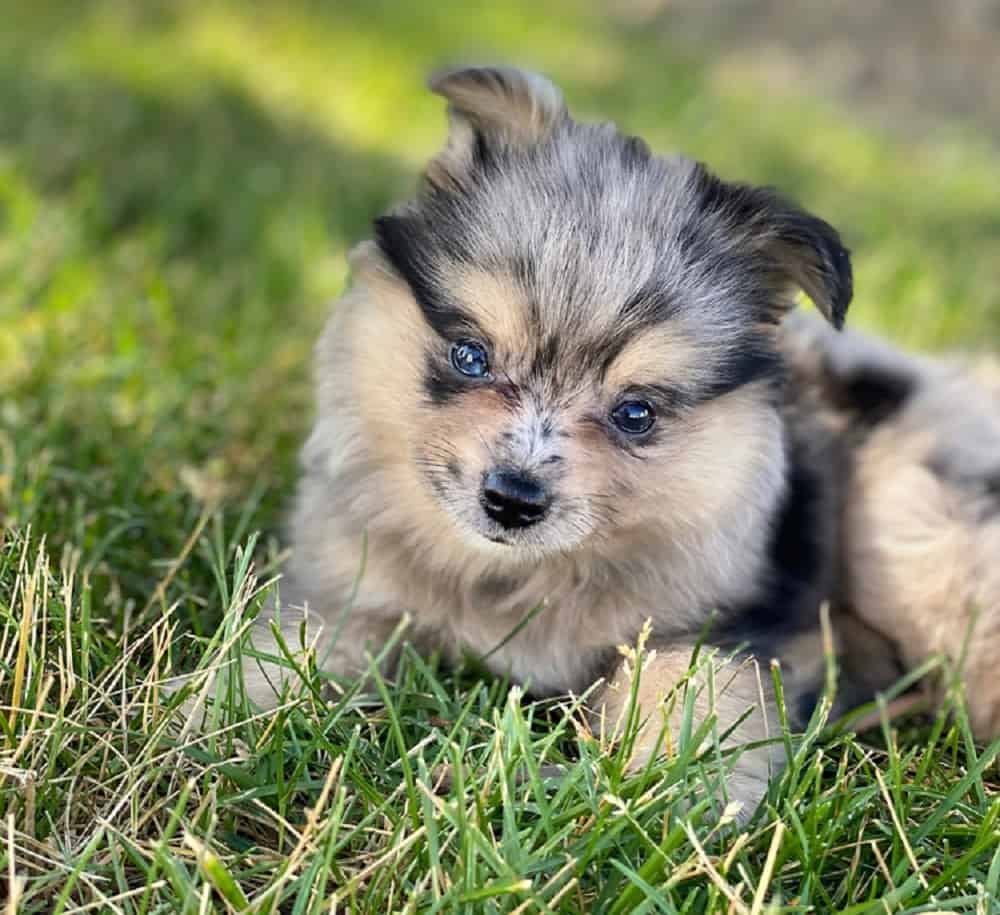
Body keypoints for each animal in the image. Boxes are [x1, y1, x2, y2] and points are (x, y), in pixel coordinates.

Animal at [223, 68, 996, 820]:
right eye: (471, 357)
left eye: (634, 412)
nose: (513, 500)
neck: (517, 578)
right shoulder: (345, 590)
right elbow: (288, 656)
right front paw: (226, 732)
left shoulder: (717, 627)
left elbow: (683, 707)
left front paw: (615, 794)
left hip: (907, 527)